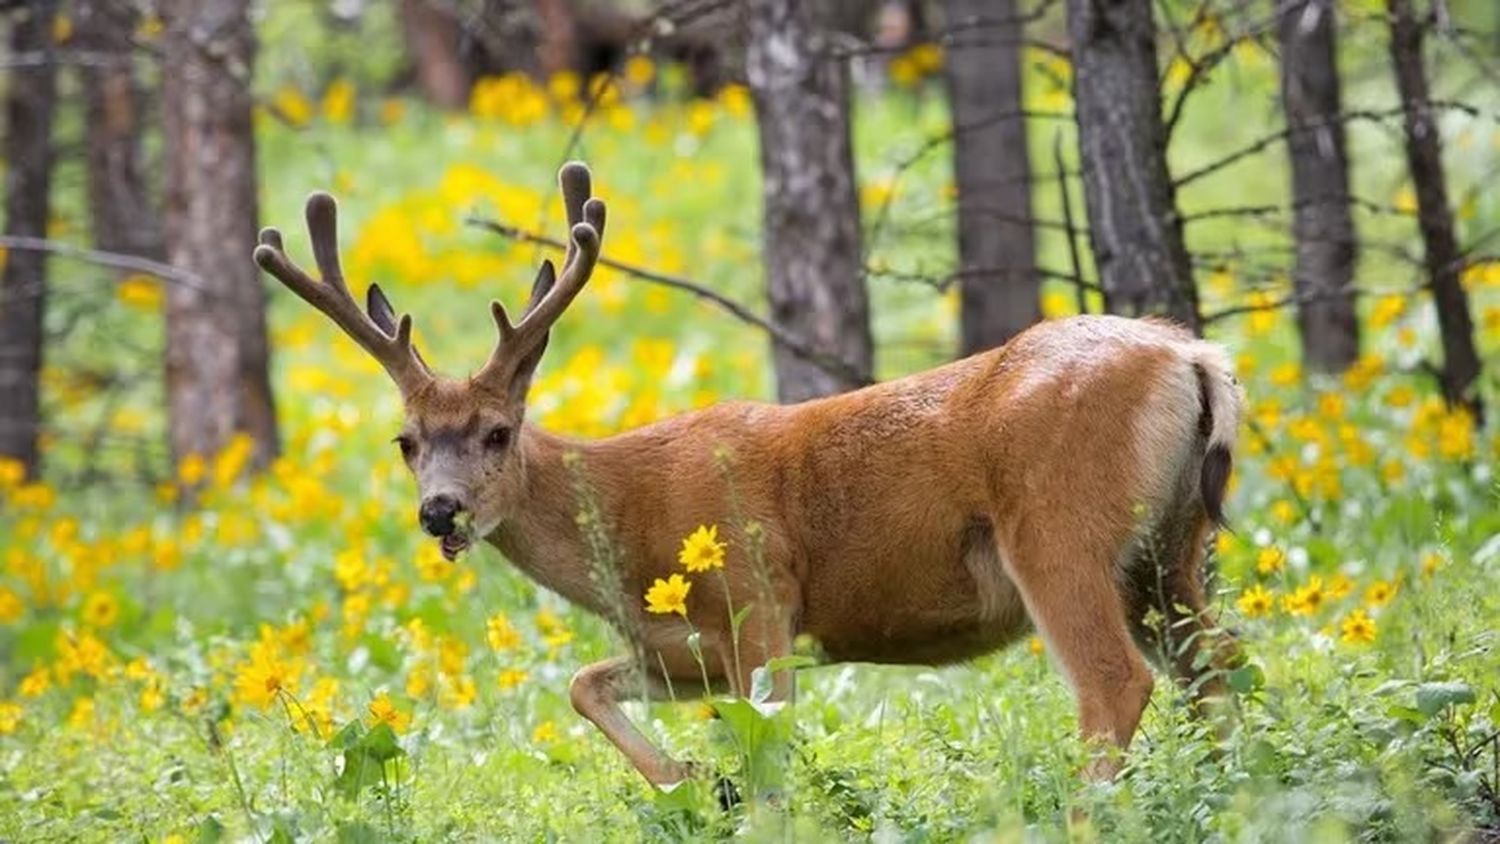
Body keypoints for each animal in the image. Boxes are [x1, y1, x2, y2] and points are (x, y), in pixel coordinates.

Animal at [255, 161, 1242, 791]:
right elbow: (582, 684)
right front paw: (688, 777)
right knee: (1217, 667)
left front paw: (729, 789)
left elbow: (769, 760)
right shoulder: (682, 649)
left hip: (1057, 527)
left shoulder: (759, 600)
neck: (628, 525)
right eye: (406, 441)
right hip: (1170, 548)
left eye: (498, 432)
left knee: (1117, 683)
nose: (441, 512)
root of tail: (1194, 356)